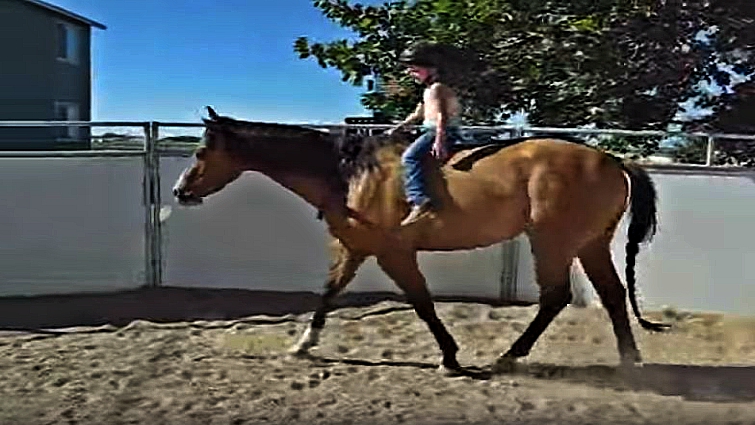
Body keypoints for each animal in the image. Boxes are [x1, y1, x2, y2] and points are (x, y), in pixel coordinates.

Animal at [172, 106, 670, 374]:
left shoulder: (395, 252)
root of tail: (612, 158)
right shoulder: (356, 248)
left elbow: (422, 302)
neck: (350, 172)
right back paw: (629, 361)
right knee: (611, 294)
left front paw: (449, 357)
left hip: (552, 242)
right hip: (590, 243)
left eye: (201, 150)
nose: (179, 191)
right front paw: (302, 346)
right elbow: (329, 292)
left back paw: (508, 357)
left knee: (556, 297)